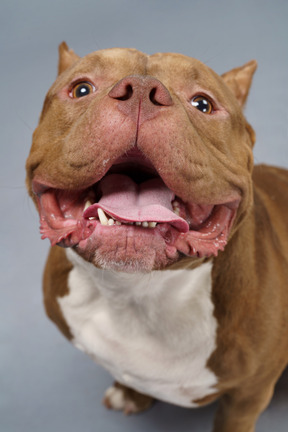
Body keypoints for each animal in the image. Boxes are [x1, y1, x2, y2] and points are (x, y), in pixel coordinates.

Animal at [25, 43, 288, 432]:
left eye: (202, 104)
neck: (134, 291)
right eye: (81, 89)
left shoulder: (248, 394)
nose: (140, 89)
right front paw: (130, 391)